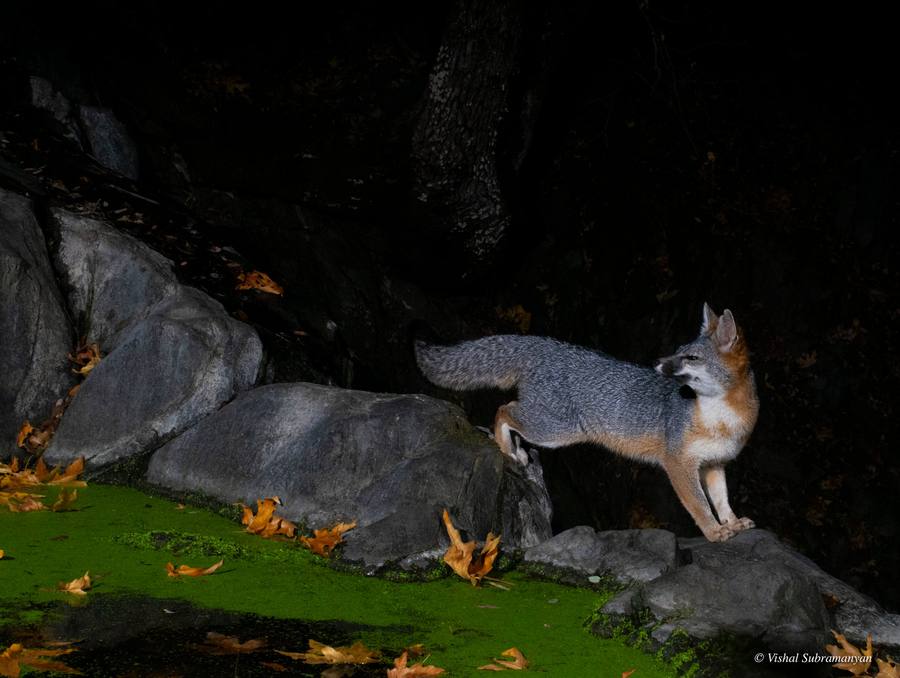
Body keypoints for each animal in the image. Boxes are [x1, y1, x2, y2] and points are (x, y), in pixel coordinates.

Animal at [415, 303, 759, 542]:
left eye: (691, 358)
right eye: (678, 353)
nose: (657, 363)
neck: (722, 419)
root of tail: (548, 344)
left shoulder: (714, 464)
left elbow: (721, 500)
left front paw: (732, 523)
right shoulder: (678, 464)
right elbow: (700, 505)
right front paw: (714, 532)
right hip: (554, 430)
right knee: (504, 409)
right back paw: (508, 448)